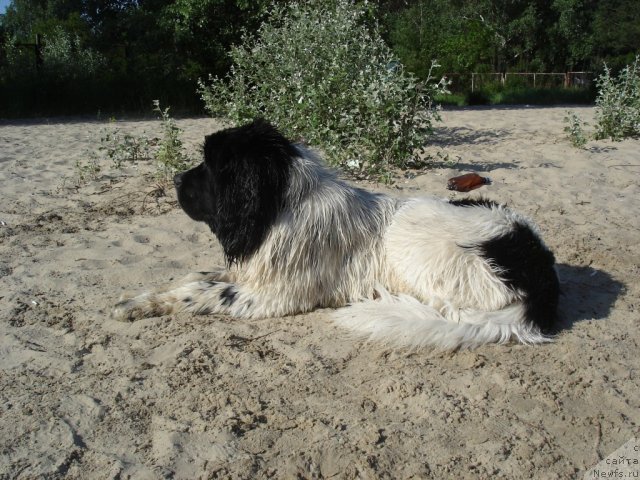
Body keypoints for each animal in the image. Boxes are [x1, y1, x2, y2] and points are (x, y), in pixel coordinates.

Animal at [112, 119, 556, 348]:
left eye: (209, 165)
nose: (174, 179)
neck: (280, 204)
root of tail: (538, 270)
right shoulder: (250, 269)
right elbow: (196, 277)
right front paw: (141, 299)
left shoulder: (272, 295)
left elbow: (201, 292)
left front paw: (147, 305)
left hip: (411, 235)